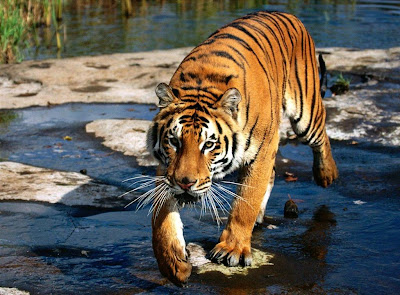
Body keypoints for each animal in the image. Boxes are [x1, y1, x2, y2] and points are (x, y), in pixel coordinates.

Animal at [146, 10, 338, 286]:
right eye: (174, 141)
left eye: (209, 145)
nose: (185, 183)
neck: (203, 85)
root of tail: (287, 13)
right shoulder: (167, 168)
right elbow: (161, 218)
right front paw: (172, 263)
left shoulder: (263, 150)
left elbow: (245, 202)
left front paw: (233, 249)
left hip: (305, 110)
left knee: (321, 135)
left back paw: (326, 174)